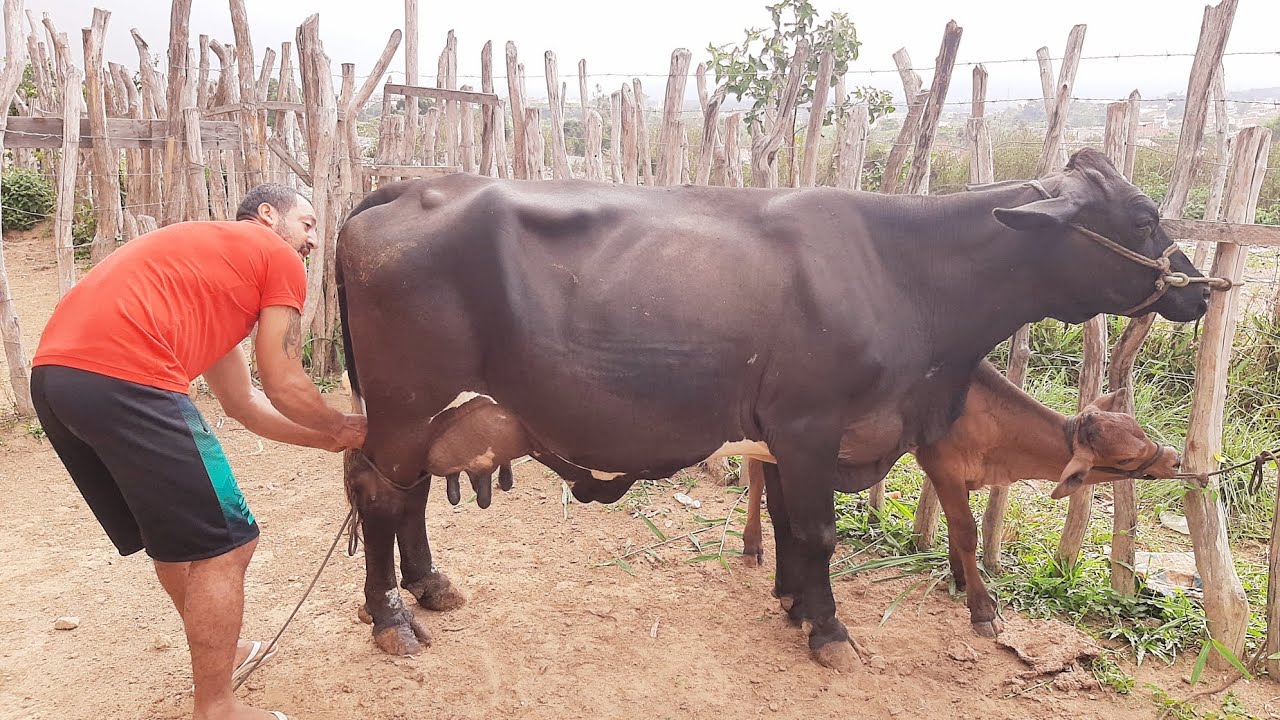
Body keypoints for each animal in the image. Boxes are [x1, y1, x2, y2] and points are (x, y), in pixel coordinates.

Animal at [737, 359, 1182, 637]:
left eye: (1138, 429)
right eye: (1125, 458)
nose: (1175, 459)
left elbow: (956, 529)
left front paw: (960, 577)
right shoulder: (943, 465)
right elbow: (967, 531)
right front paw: (983, 609)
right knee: (755, 479)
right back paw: (751, 544)